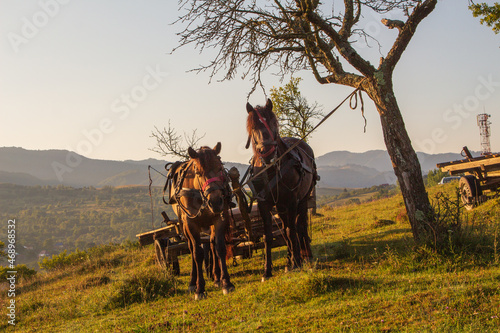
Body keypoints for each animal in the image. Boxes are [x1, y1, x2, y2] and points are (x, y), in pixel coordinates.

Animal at [169, 142, 235, 298]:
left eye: (219, 168)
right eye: (198, 173)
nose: (216, 201)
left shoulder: (219, 218)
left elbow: (220, 248)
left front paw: (226, 283)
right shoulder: (191, 223)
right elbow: (197, 253)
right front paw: (200, 288)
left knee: (211, 243)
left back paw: (216, 278)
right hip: (184, 226)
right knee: (192, 248)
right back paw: (193, 282)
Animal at [245, 99, 316, 280]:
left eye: (272, 123)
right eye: (253, 127)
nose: (266, 152)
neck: (271, 169)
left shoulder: (292, 201)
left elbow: (292, 231)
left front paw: (297, 262)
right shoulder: (265, 204)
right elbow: (269, 236)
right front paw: (267, 270)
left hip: (302, 200)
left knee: (300, 226)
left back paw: (306, 256)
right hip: (281, 206)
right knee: (285, 228)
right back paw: (289, 261)